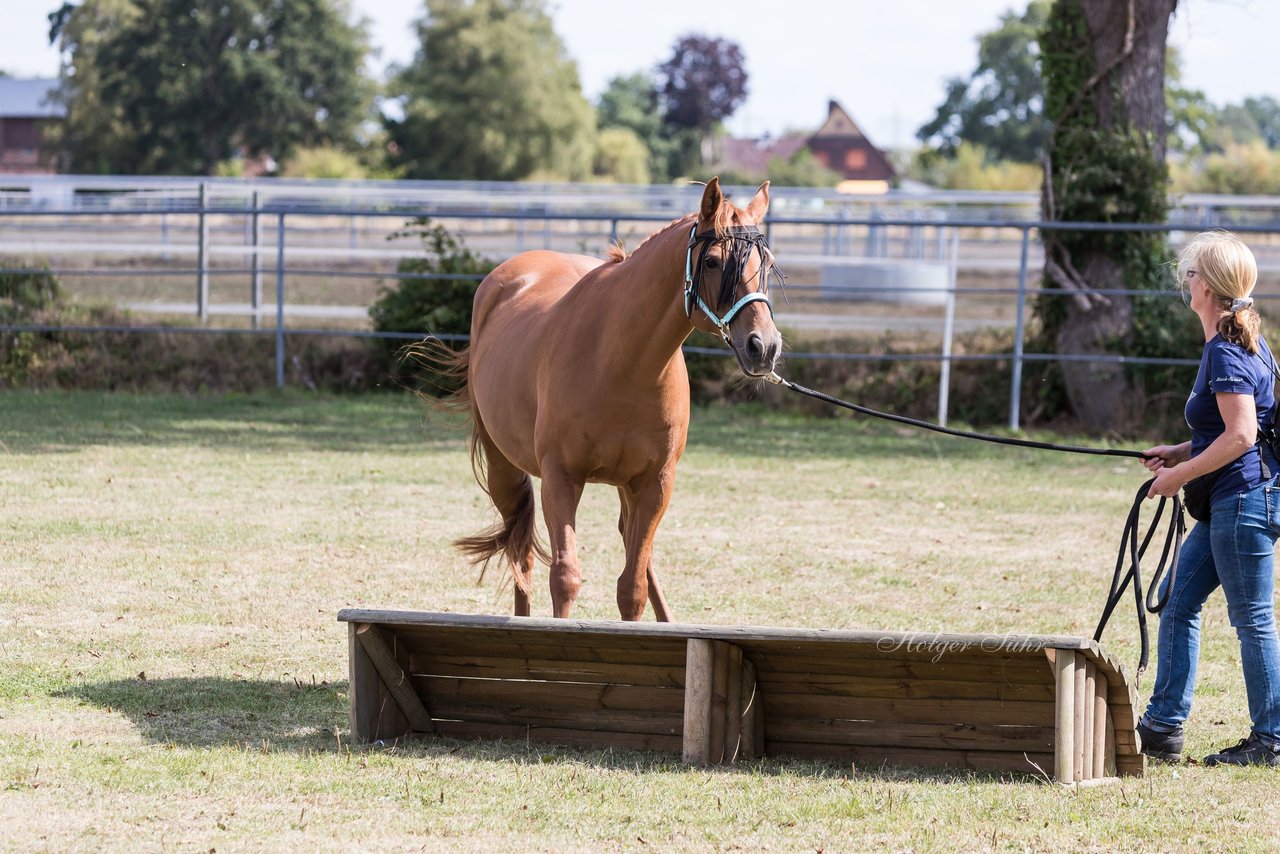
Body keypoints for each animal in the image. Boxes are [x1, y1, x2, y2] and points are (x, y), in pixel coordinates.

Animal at [445, 180, 778, 622]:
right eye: (711, 261)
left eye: (768, 262)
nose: (764, 347)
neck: (621, 361)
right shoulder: (561, 478)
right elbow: (565, 577)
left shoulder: (655, 482)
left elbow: (632, 586)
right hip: (503, 467)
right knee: (522, 553)